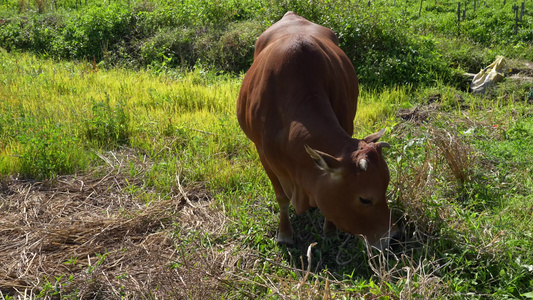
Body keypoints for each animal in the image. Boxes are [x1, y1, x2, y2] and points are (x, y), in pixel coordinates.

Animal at [237, 11, 400, 250]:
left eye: (386, 187)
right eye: (365, 199)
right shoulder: (264, 155)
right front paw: (284, 233)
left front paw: (330, 231)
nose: (391, 237)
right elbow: (281, 197)